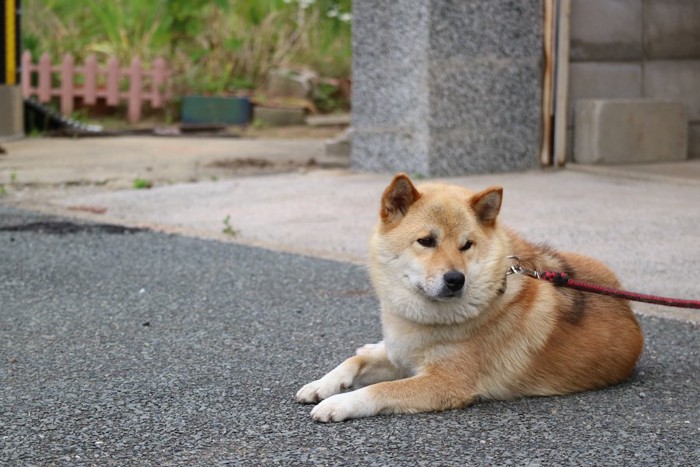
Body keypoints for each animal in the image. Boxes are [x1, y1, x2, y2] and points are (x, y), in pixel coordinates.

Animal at [296, 174, 644, 422]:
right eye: (426, 241)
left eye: (466, 245)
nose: (455, 279)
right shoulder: (403, 357)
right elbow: (354, 361)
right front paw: (322, 385)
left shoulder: (446, 383)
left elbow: (378, 390)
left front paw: (339, 402)